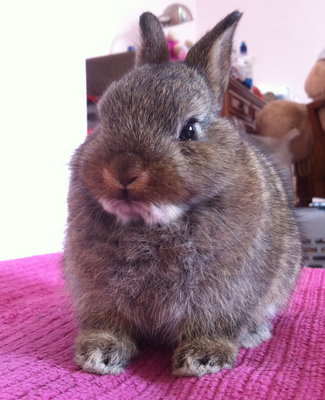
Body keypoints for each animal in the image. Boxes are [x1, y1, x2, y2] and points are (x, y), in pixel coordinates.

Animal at [63, 10, 302, 376]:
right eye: (103, 118)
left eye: (189, 129)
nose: (123, 170)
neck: (152, 223)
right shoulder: (98, 291)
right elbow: (110, 322)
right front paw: (99, 353)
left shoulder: (222, 292)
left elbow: (211, 323)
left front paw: (202, 358)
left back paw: (253, 334)